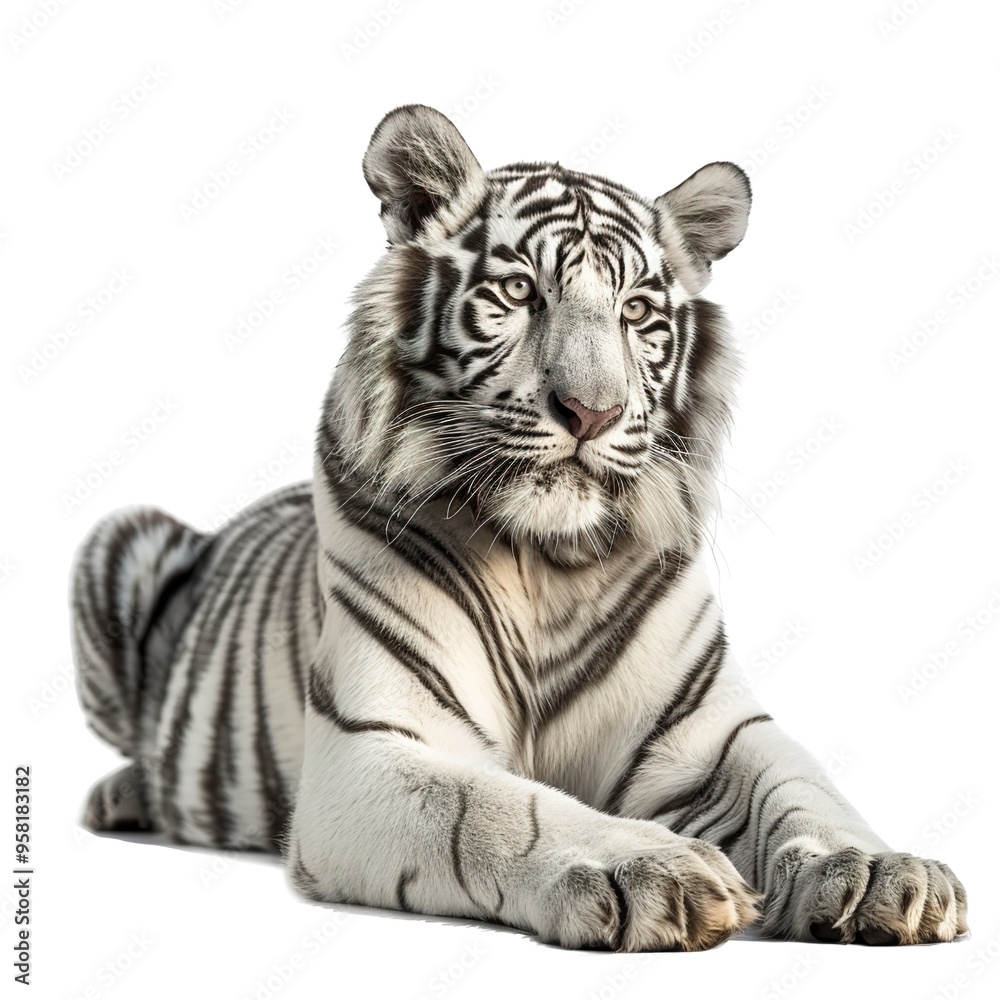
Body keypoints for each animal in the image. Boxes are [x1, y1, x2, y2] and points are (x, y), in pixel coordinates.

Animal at [70, 104, 968, 951]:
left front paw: (882, 872)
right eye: (518, 294)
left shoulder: (709, 732)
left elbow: (804, 789)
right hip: (115, 539)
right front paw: (652, 867)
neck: (549, 560)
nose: (592, 411)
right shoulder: (374, 748)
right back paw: (121, 795)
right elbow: (501, 809)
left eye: (636, 311)